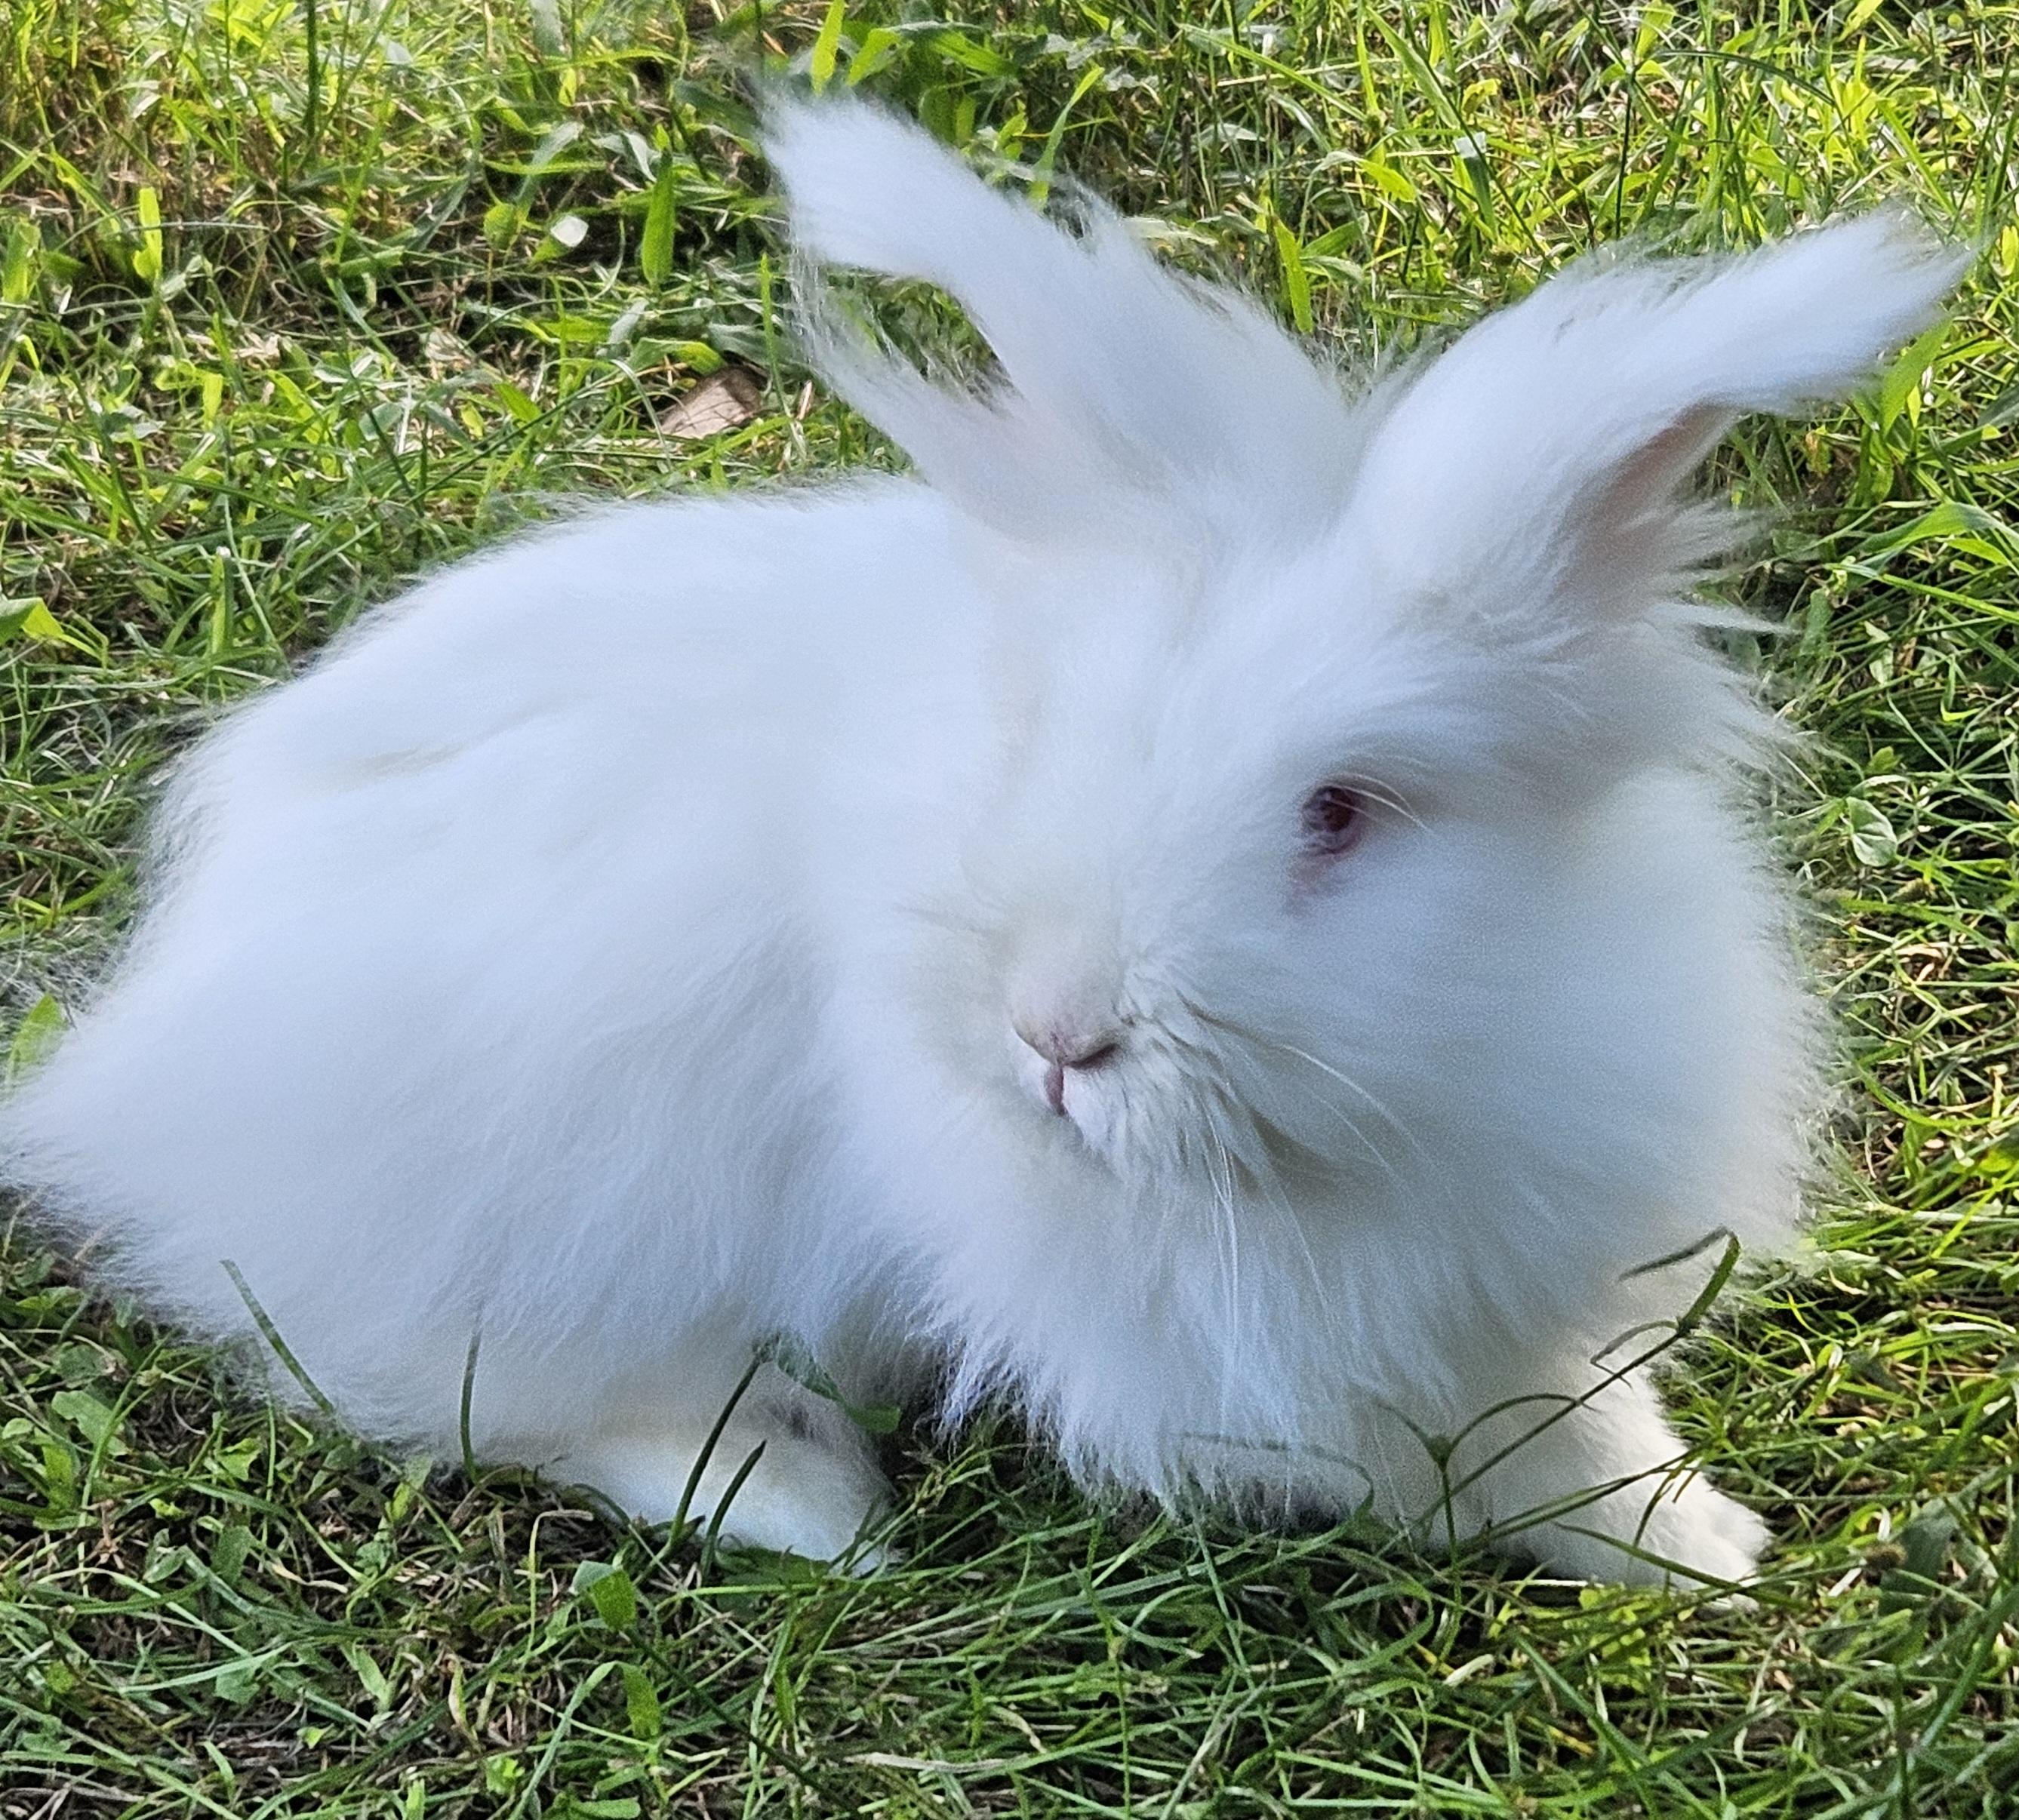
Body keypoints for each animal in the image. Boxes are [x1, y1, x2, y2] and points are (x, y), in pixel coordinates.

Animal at [0, 96, 1969, 1587]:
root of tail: (139, 1051)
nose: (1056, 1037)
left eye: (1341, 812)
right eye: (1053, 738)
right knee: (475, 1390)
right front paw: (1697, 1551)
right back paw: (806, 1497)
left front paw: (1705, 1538)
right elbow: (1494, 1454)